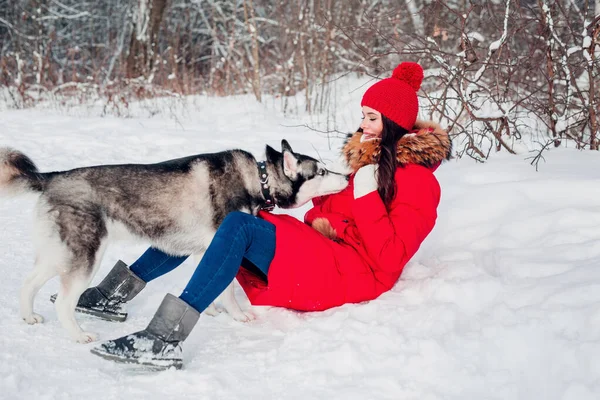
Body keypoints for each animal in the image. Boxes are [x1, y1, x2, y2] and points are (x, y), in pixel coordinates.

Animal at [0, 139, 350, 342]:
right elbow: (228, 291)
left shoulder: (204, 248)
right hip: (85, 256)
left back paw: (29, 316)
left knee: (28, 284)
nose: (347, 176)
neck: (257, 180)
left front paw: (212, 311)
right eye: (320, 171)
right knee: (63, 302)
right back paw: (79, 335)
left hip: (57, 255)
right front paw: (237, 315)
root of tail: (53, 177)